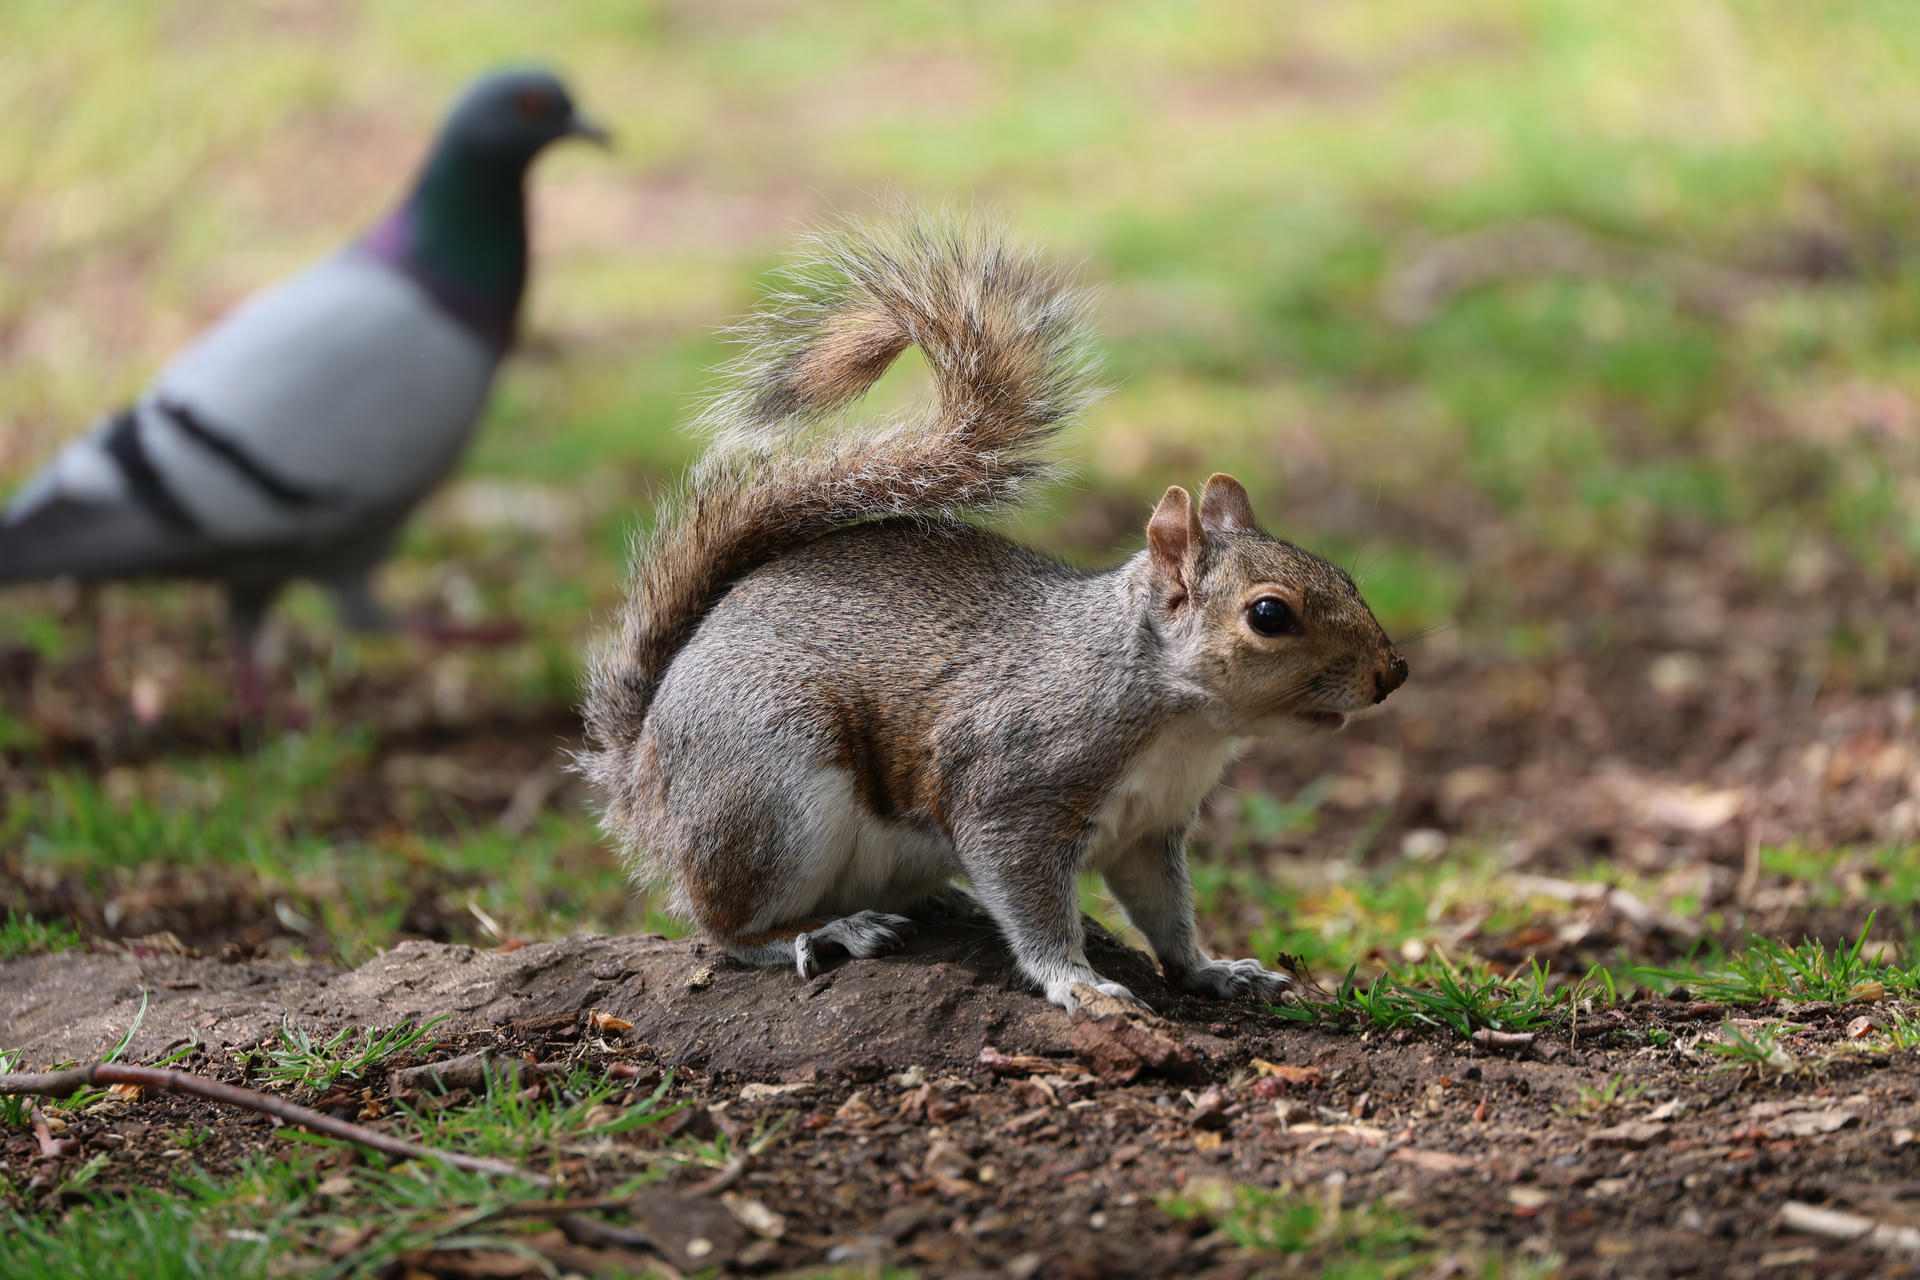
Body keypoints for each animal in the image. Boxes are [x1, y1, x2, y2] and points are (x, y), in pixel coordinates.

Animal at [581, 213, 1408, 1012]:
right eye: (1269, 615)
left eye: (1342, 573)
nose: (1392, 673)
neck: (1173, 715)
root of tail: (641, 779)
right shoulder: (1012, 794)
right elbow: (1032, 900)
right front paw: (1075, 980)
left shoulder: (1150, 831)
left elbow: (1166, 914)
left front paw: (1213, 970)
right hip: (768, 798)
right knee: (721, 927)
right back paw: (824, 931)